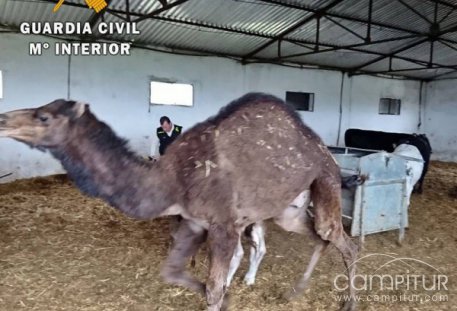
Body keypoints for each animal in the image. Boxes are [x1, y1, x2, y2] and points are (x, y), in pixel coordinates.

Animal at [0, 93, 356, 311]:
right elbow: (172, 273)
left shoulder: (223, 224)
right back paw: (295, 291)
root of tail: (324, 150)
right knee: (319, 237)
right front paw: (227, 298)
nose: (3, 119)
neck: (171, 180)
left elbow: (214, 286)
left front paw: (224, 295)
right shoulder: (194, 221)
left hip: (325, 179)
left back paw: (348, 302)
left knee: (342, 240)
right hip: (288, 211)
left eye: (44, 117)